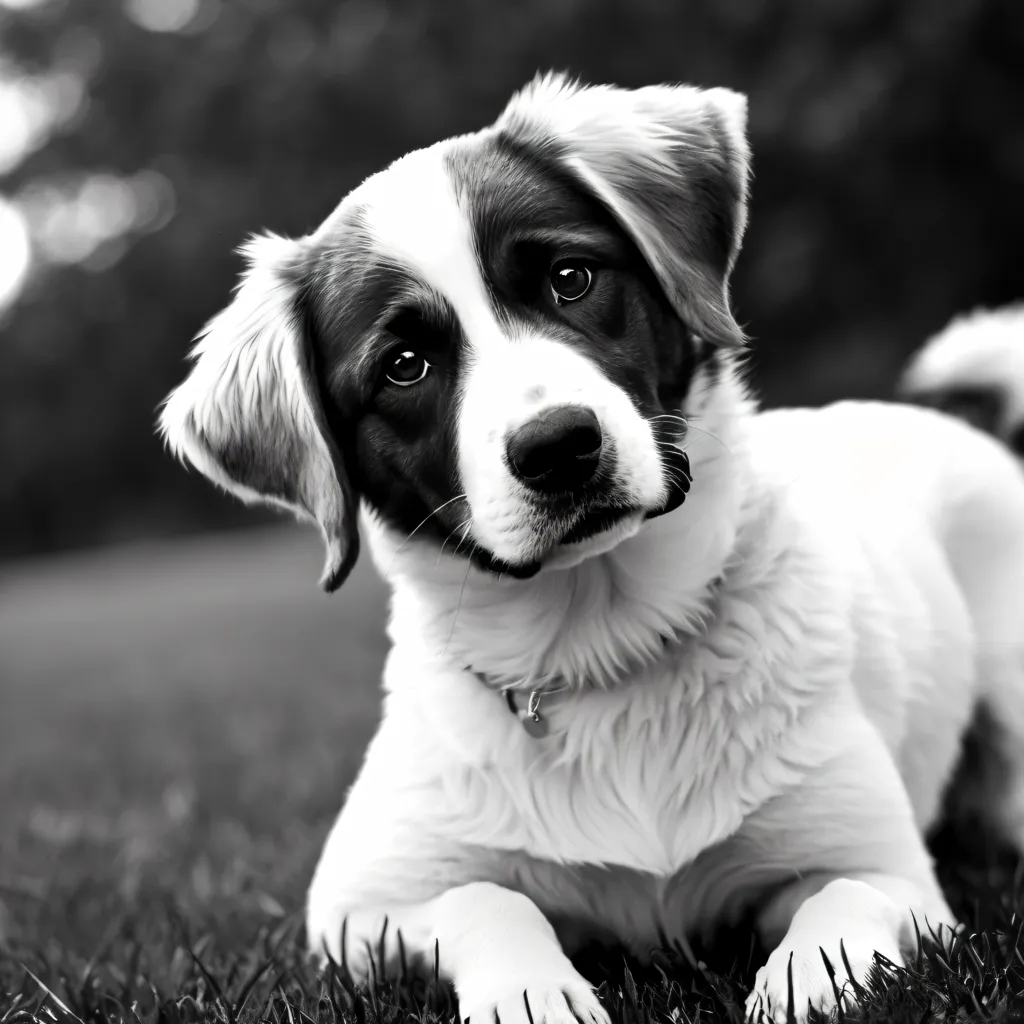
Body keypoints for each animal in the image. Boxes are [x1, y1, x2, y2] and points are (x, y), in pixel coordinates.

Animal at [155, 74, 1024, 1024]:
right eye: (405, 364)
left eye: (570, 279)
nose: (557, 446)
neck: (601, 635)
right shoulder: (357, 910)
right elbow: (490, 901)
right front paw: (532, 995)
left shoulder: (892, 873)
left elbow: (844, 899)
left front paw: (804, 985)